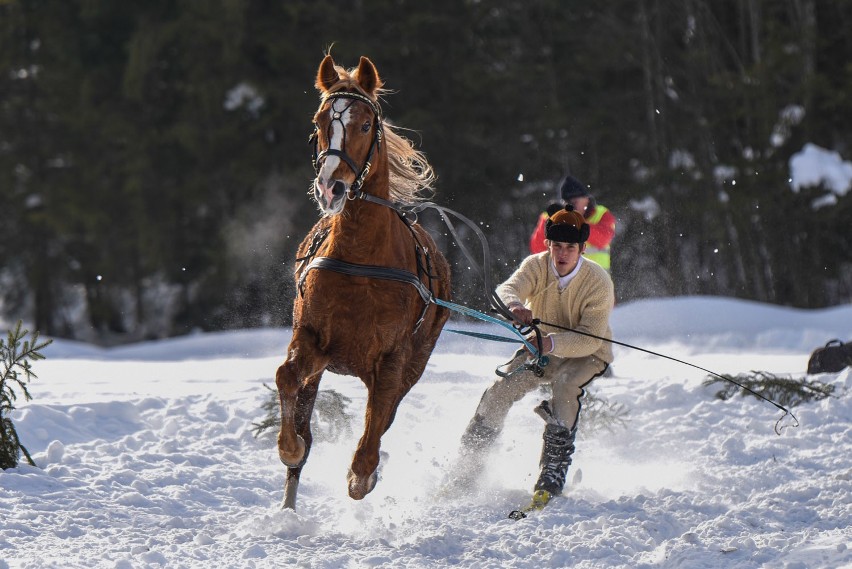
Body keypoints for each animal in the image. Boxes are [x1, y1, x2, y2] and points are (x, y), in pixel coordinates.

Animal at [278, 55, 452, 508]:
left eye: (365, 124)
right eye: (320, 121)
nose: (331, 186)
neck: (361, 259)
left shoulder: (392, 359)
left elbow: (374, 432)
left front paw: (363, 476)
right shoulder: (312, 338)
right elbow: (287, 379)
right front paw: (291, 447)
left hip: (416, 359)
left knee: (385, 415)